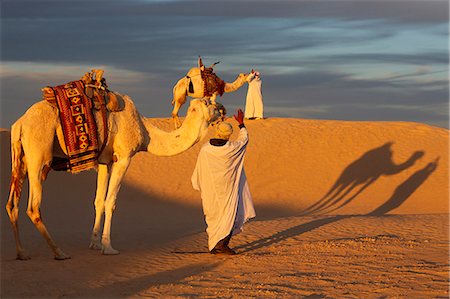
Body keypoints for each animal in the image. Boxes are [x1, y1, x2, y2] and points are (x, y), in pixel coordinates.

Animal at [6, 94, 224, 260]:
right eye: (208, 102)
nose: (222, 108)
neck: (145, 131)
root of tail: (19, 124)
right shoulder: (124, 157)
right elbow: (111, 202)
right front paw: (108, 247)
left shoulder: (105, 162)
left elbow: (99, 201)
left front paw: (94, 243)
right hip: (39, 156)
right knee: (33, 207)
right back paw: (59, 252)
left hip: (20, 159)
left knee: (11, 204)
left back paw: (22, 253)